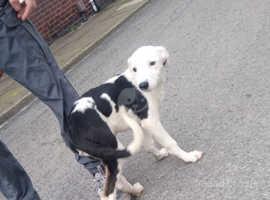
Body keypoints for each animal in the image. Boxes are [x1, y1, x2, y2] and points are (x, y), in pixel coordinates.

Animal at [67, 45, 202, 200]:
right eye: (135, 69)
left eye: (152, 63)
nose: (143, 85)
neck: (135, 80)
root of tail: (70, 128)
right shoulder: (151, 121)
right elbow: (170, 143)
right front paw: (188, 157)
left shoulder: (142, 123)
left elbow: (149, 144)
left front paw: (159, 155)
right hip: (114, 151)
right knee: (109, 191)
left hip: (108, 155)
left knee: (115, 180)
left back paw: (134, 190)